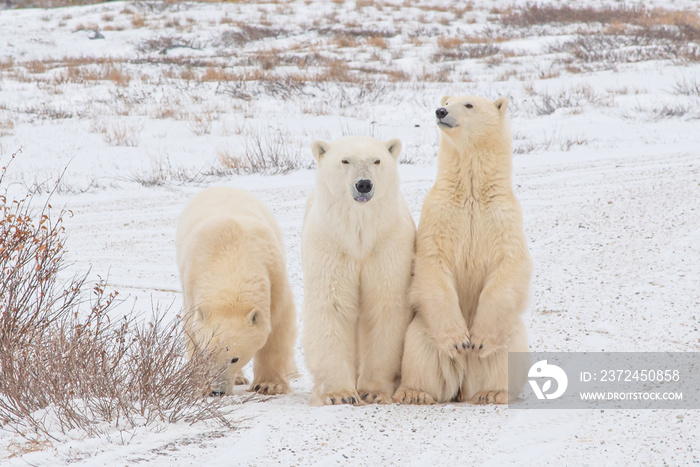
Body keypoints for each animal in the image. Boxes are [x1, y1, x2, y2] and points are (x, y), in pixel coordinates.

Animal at [176, 186, 296, 394]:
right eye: (207, 356)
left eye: (234, 358)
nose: (217, 391)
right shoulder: (190, 283)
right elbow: (191, 331)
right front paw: (201, 385)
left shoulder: (274, 275)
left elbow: (278, 325)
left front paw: (269, 385)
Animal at [300, 135, 416, 406]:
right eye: (345, 160)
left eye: (377, 160)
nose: (364, 184)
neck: (359, 234)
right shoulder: (332, 245)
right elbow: (332, 306)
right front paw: (338, 394)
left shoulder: (386, 244)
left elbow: (384, 305)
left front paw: (372, 391)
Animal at [394, 96, 532, 406]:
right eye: (446, 100)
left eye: (468, 104)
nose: (441, 111)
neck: (471, 192)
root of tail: (462, 382)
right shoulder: (438, 213)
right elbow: (432, 262)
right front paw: (459, 340)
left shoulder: (504, 218)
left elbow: (509, 264)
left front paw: (477, 340)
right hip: (423, 328)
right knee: (420, 352)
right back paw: (414, 392)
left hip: (511, 331)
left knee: (505, 354)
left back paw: (492, 392)